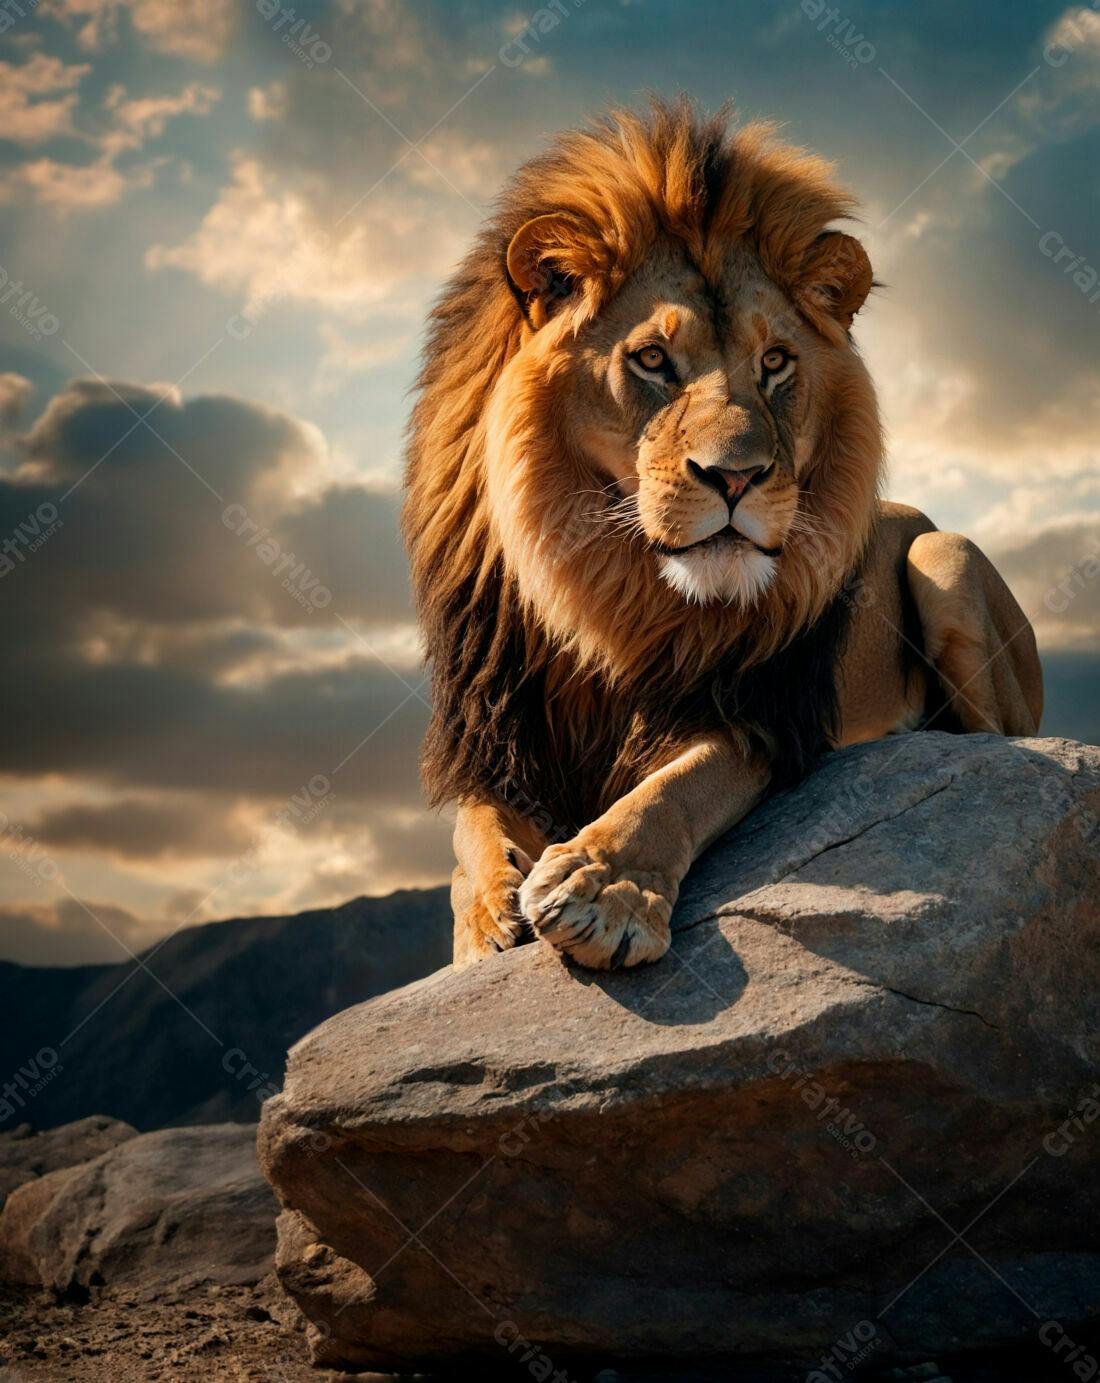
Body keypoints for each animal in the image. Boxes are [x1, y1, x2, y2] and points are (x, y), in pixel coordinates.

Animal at [403, 100, 1042, 972]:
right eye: (651, 358)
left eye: (775, 361)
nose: (736, 477)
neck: (608, 592)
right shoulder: (494, 727)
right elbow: (473, 826)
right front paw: (484, 914)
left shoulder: (762, 713)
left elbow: (676, 787)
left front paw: (604, 888)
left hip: (941, 555)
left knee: (990, 751)